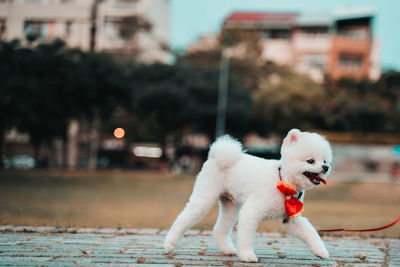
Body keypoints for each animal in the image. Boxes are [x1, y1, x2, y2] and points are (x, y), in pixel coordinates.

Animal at [164, 129, 332, 262]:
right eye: (310, 161)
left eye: (324, 160)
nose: (326, 167)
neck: (284, 181)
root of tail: (216, 156)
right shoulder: (252, 212)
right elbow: (245, 237)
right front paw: (247, 256)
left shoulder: (291, 219)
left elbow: (310, 233)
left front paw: (321, 251)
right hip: (204, 198)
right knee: (183, 219)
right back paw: (169, 244)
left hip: (231, 206)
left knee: (220, 228)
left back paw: (227, 250)